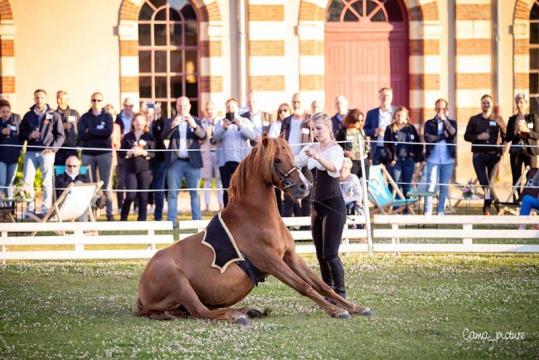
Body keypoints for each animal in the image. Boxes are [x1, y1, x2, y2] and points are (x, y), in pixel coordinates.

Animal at [135, 135, 374, 324]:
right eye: (277, 160)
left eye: (293, 157)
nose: (304, 187)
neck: (257, 216)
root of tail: (142, 290)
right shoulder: (272, 262)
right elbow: (304, 287)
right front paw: (336, 311)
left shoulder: (290, 257)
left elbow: (321, 285)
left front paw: (355, 307)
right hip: (179, 281)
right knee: (201, 311)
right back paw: (238, 315)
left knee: (193, 311)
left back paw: (247, 310)